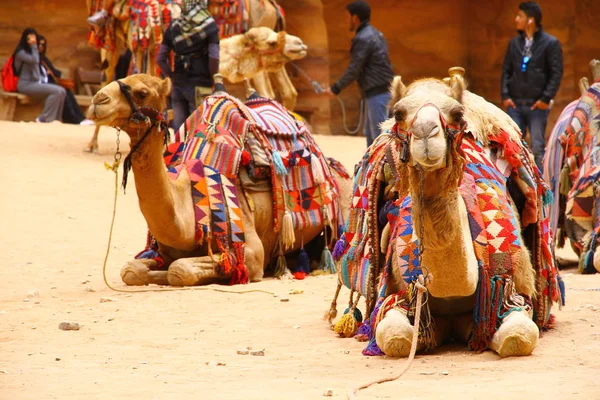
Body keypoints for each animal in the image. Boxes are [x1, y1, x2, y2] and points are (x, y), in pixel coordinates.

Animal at [84, 74, 352, 288]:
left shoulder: (252, 252)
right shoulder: (164, 250)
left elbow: (180, 270)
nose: (98, 100)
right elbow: (132, 269)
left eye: (142, 93)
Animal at [330, 66, 560, 360]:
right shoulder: (402, 296)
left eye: (457, 114)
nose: (426, 132)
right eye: (398, 113)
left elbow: (518, 337)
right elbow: (395, 336)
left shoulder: (511, 293)